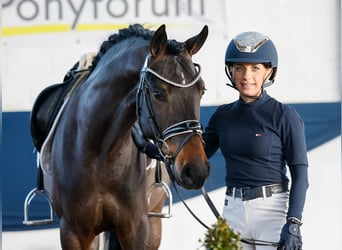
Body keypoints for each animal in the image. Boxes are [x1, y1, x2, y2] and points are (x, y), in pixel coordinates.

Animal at [47, 23, 210, 248]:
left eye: (201, 90)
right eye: (158, 93)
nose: (196, 170)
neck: (99, 153)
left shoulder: (136, 229)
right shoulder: (73, 232)